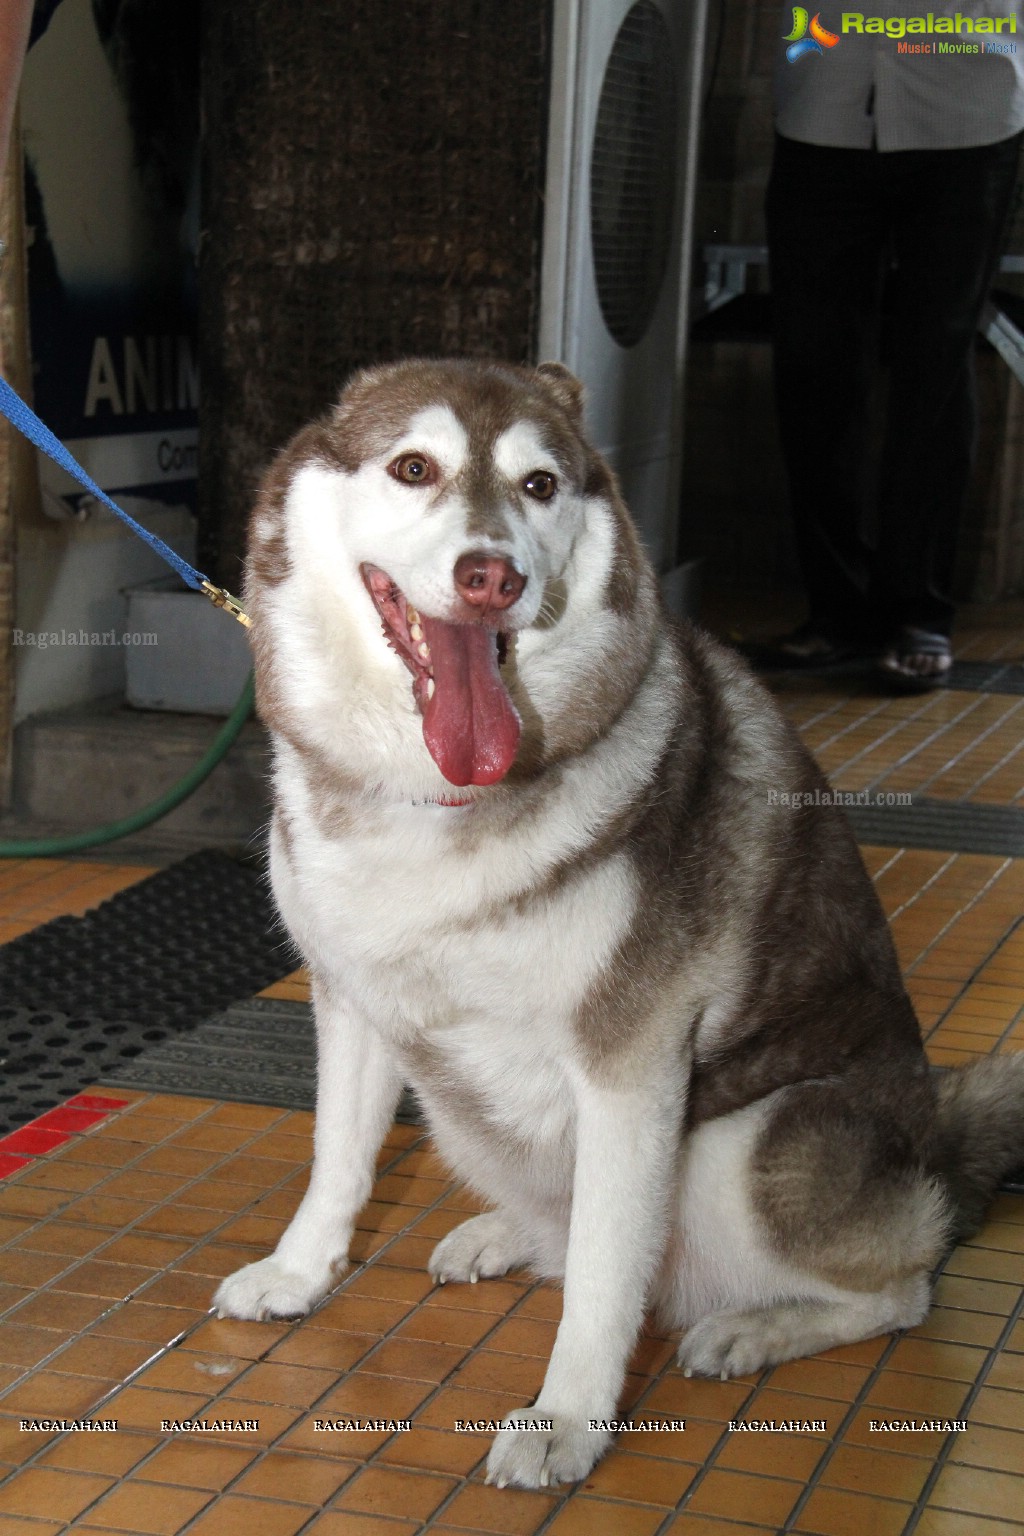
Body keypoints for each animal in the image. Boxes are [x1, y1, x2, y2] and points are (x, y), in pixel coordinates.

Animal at [214, 359, 1024, 1486]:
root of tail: (942, 1152)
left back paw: (757, 1325)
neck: (431, 799)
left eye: (540, 484)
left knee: (900, 1288)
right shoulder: (354, 1000)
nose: (491, 578)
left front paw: (566, 1421)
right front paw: (300, 1272)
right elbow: (338, 1157)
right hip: (462, 1112)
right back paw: (504, 1235)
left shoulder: (629, 1066)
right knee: (562, 1221)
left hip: (741, 1149)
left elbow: (605, 1276)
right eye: (413, 467)